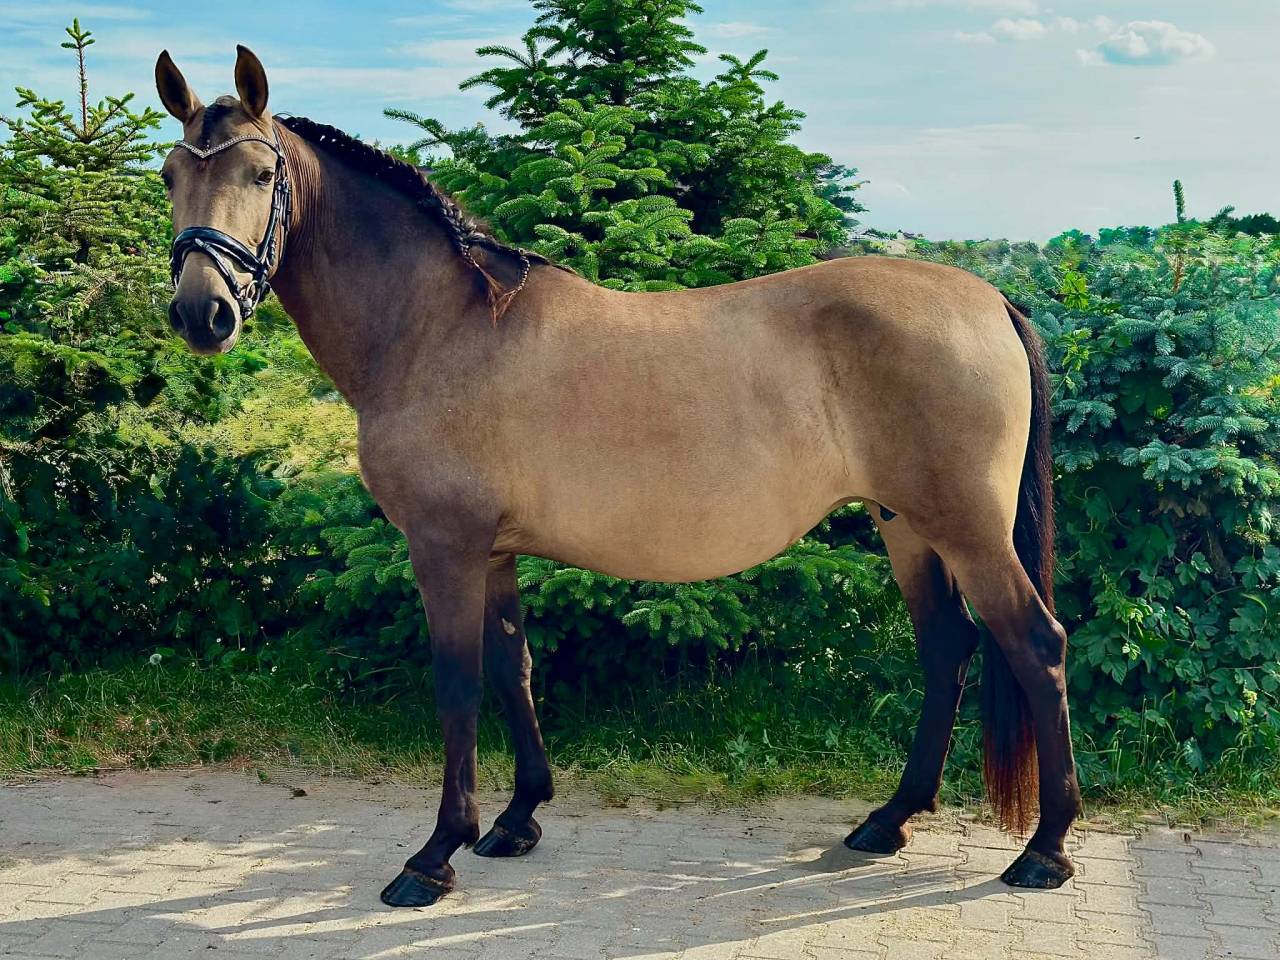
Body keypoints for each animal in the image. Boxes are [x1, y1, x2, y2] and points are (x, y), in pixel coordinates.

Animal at [155, 46, 1081, 908]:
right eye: (169, 175)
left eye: (261, 173)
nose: (203, 314)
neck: (438, 328)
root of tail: (990, 300)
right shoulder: (494, 551)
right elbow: (514, 668)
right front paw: (517, 820)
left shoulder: (444, 546)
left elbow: (457, 685)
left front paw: (435, 854)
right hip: (907, 526)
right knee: (948, 648)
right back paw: (890, 820)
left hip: (964, 528)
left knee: (1036, 645)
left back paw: (1045, 850)